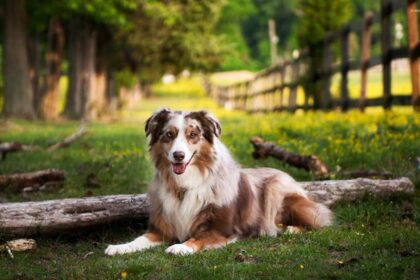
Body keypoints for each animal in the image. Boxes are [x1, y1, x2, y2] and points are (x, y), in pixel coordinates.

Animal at [104, 109, 332, 256]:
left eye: (193, 135)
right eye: (169, 135)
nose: (178, 156)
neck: (185, 185)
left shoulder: (223, 230)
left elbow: (199, 238)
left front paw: (181, 247)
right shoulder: (163, 229)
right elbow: (139, 239)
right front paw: (119, 247)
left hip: (278, 192)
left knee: (319, 220)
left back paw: (291, 229)